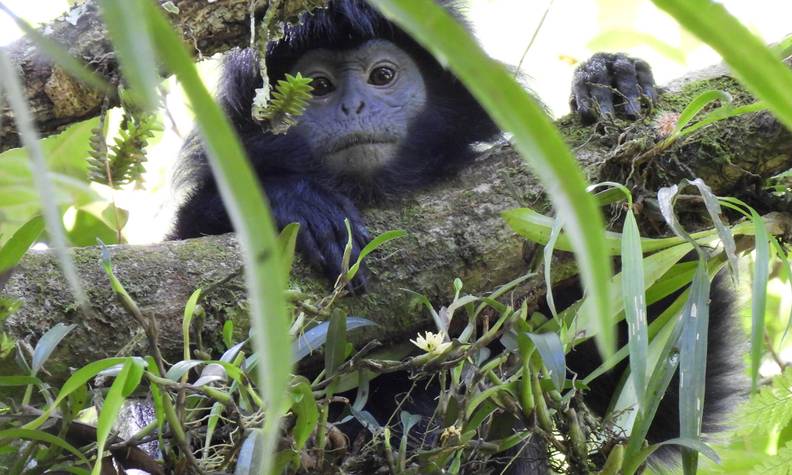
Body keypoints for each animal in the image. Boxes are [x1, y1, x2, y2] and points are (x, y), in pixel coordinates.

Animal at [170, 0, 744, 470]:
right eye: (319, 87)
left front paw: (610, 79)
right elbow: (198, 404)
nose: (354, 108)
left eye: (382, 75)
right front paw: (291, 200)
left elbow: (653, 417)